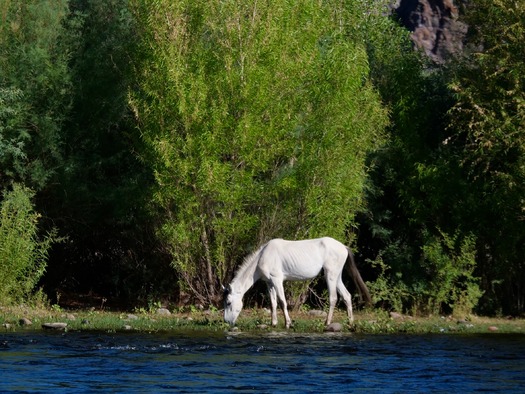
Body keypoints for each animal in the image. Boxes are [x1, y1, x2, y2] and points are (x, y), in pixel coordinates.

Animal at [223, 239, 370, 328]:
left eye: (229, 302)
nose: (226, 321)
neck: (263, 257)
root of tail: (344, 247)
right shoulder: (270, 283)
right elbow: (273, 303)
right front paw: (273, 323)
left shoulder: (277, 280)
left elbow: (282, 302)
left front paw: (288, 323)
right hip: (337, 276)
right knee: (346, 296)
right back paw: (350, 323)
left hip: (330, 275)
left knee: (333, 298)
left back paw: (327, 323)